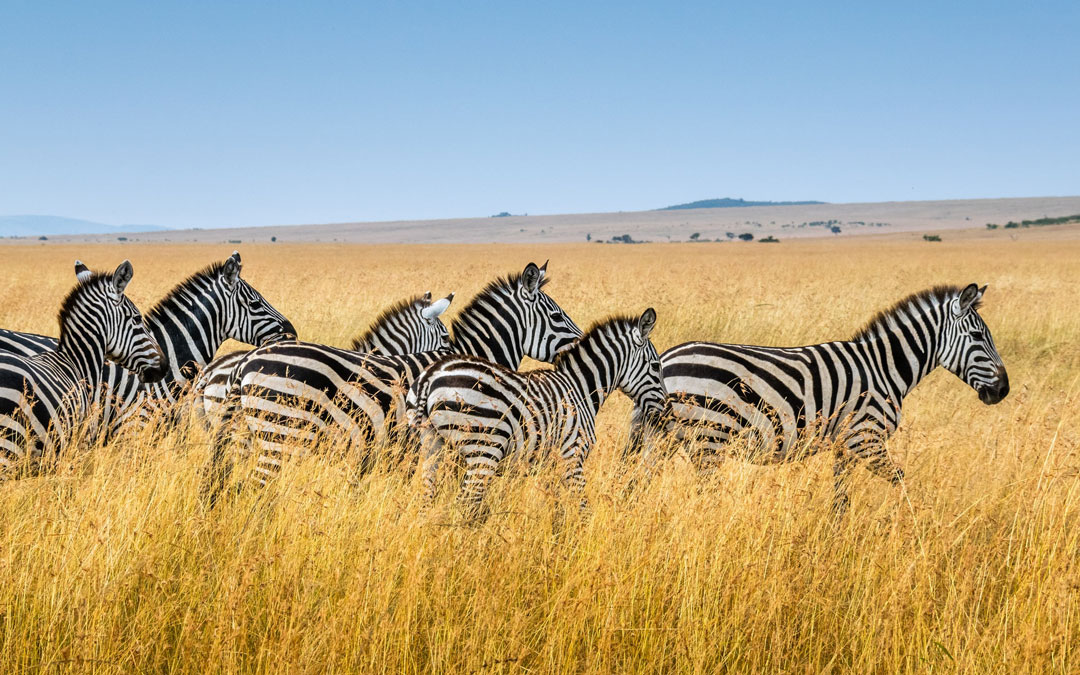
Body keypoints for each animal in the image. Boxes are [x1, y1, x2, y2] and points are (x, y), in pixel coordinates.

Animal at [410, 311, 665, 516]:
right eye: (655, 366)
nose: (665, 410)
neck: (580, 388)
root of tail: (431, 376)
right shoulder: (572, 456)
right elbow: (582, 507)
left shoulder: (552, 464)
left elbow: (558, 508)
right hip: (484, 449)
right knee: (466, 503)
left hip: (432, 444)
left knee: (426, 500)